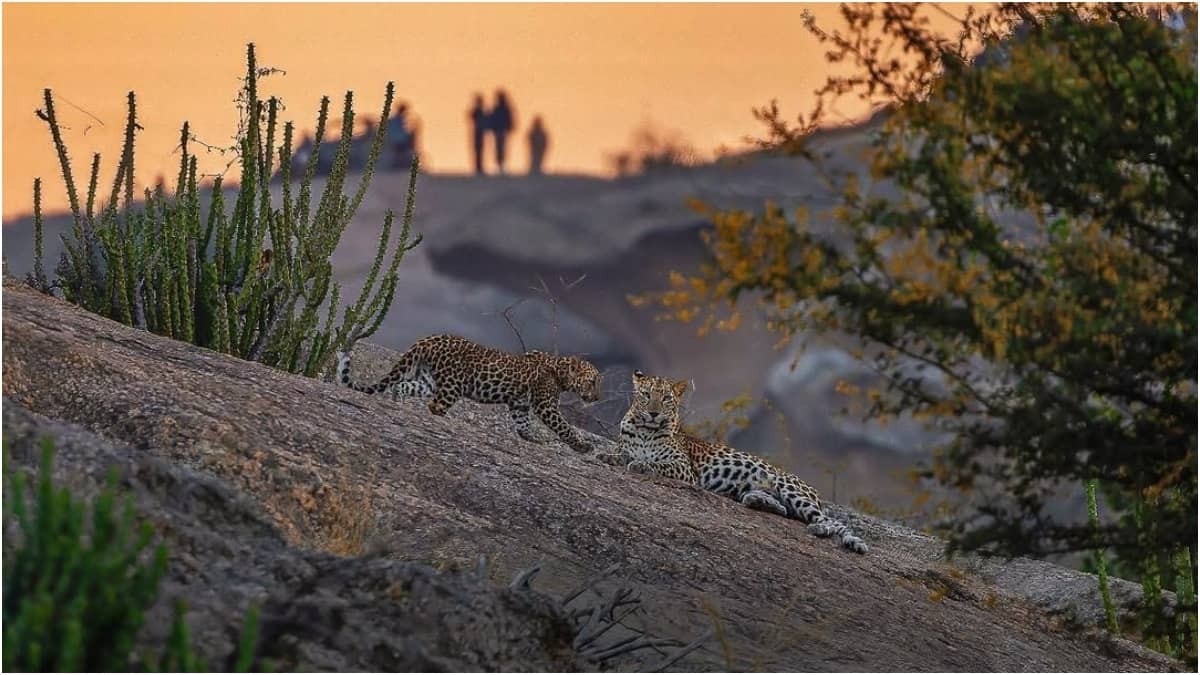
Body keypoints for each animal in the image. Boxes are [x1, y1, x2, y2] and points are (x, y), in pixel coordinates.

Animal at [335, 334, 601, 453]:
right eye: (593, 382)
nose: (597, 398)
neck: (561, 372)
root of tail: (427, 340)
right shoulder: (545, 405)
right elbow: (564, 427)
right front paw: (582, 445)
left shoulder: (519, 404)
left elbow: (523, 424)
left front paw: (534, 438)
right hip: (454, 385)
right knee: (435, 405)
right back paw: (446, 420)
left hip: (428, 380)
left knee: (401, 386)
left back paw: (398, 403)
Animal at [615, 370, 868, 554]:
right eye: (646, 395)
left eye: (666, 398)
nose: (654, 413)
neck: (646, 431)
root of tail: (813, 490)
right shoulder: (624, 447)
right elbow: (621, 454)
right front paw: (615, 457)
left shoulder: (684, 468)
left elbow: (658, 464)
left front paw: (640, 464)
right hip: (761, 490)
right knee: (784, 509)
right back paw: (758, 501)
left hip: (790, 488)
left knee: (833, 521)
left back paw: (823, 529)